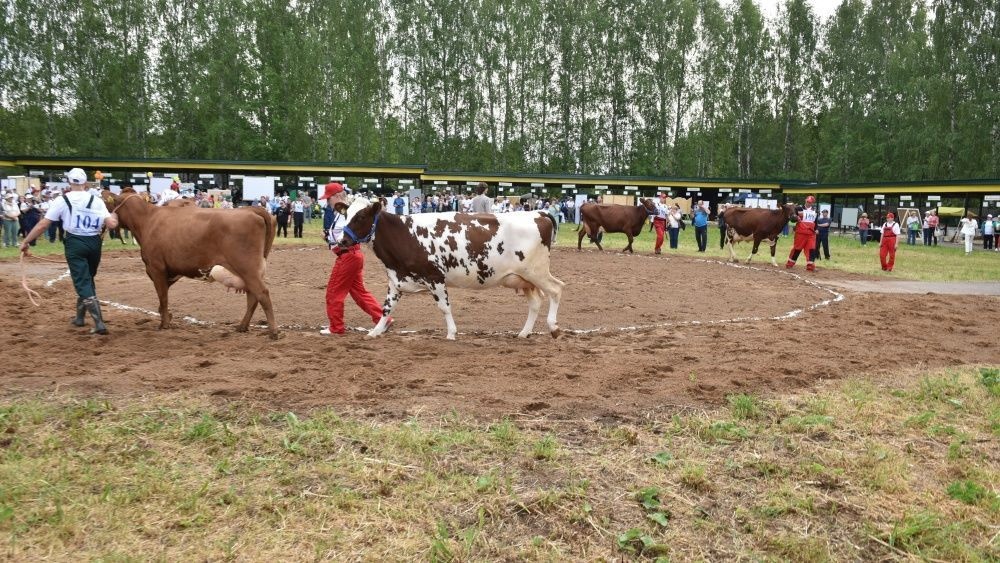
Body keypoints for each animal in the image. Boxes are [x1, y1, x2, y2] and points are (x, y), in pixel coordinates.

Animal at [107, 189, 280, 340]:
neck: (148, 220)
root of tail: (251, 209)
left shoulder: (156, 268)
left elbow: (163, 297)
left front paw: (164, 324)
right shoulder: (171, 270)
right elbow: (164, 297)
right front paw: (167, 317)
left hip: (246, 267)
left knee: (262, 294)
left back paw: (273, 332)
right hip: (250, 270)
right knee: (253, 297)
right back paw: (242, 327)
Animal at [338, 198, 564, 340]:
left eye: (360, 217)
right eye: (345, 214)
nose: (343, 241)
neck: (405, 234)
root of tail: (538, 212)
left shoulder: (435, 277)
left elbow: (444, 307)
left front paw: (451, 333)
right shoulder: (396, 280)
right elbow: (386, 308)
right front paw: (375, 332)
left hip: (536, 271)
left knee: (556, 289)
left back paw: (554, 327)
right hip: (523, 279)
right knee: (535, 302)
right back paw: (524, 333)